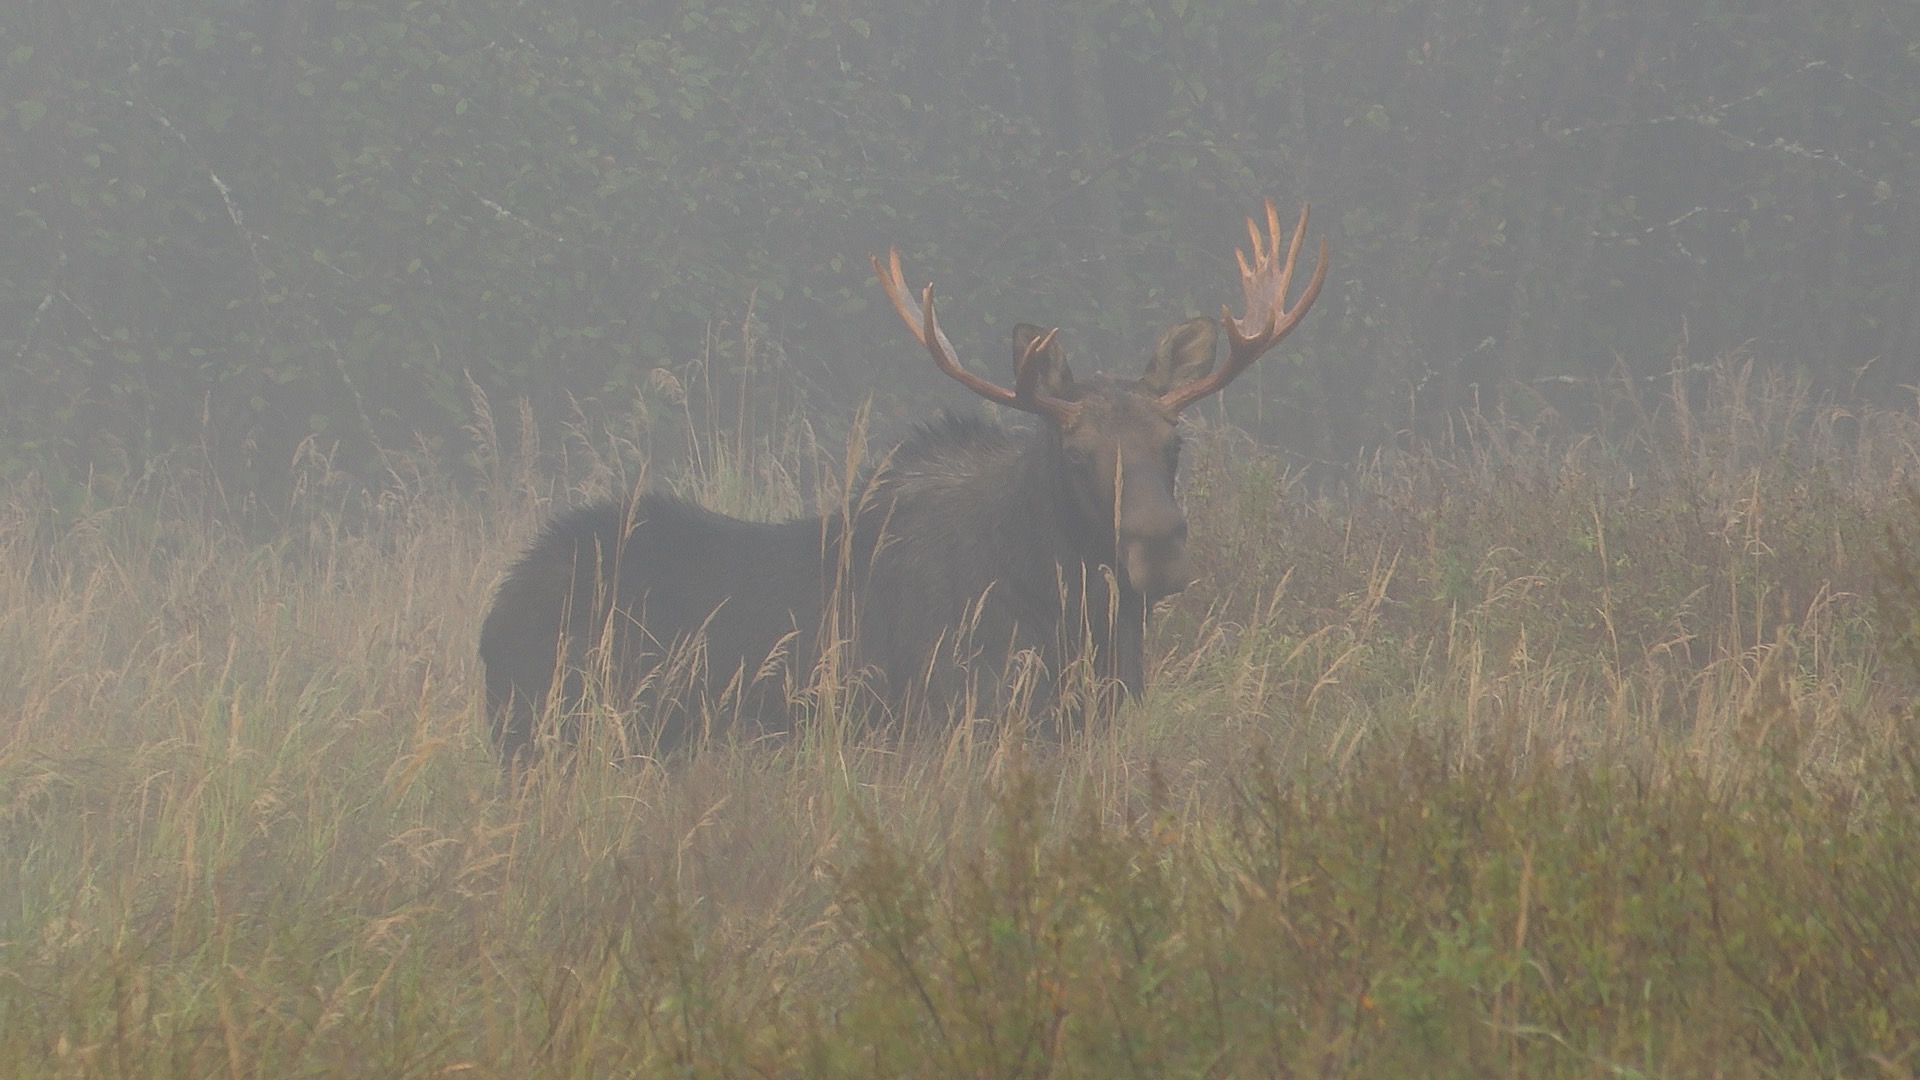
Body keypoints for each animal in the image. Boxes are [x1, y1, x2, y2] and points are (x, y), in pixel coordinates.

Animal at [480, 199, 1328, 757]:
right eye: (1075, 449)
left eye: (1173, 440)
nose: (1158, 546)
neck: (1069, 613)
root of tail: (492, 620)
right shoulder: (959, 718)